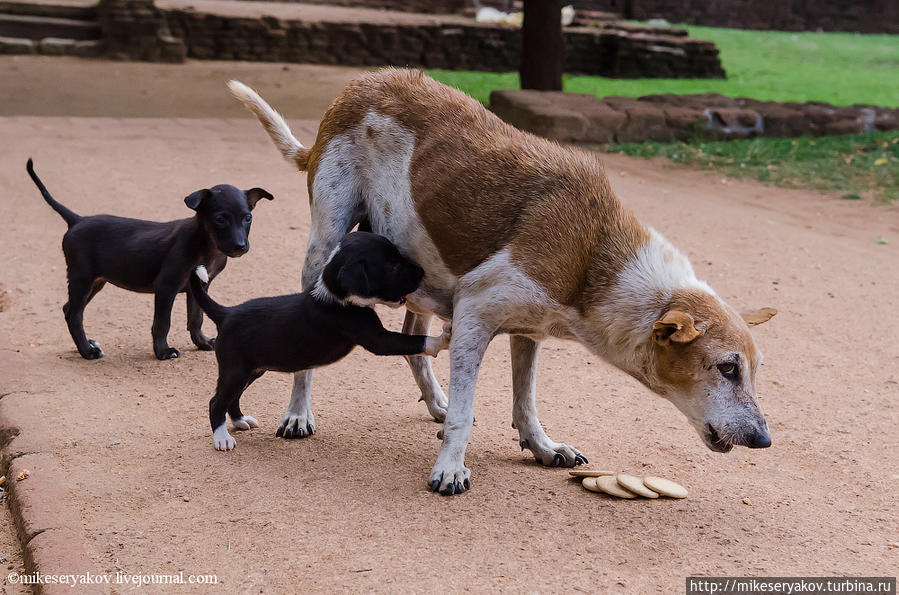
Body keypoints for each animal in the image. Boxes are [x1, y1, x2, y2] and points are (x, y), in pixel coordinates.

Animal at [28, 158, 274, 360]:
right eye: (220, 219)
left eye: (248, 218)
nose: (240, 246)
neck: (206, 246)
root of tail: (77, 220)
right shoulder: (166, 286)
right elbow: (162, 323)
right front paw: (163, 352)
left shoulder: (200, 286)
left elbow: (196, 318)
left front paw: (202, 342)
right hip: (82, 277)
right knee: (74, 314)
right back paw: (87, 352)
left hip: (96, 282)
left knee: (68, 308)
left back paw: (86, 345)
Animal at [192, 230, 454, 450]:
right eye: (392, 264)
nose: (421, 272)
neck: (337, 295)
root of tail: (225, 313)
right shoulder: (376, 339)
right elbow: (417, 341)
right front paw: (444, 336)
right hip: (235, 370)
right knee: (216, 402)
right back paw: (222, 438)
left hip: (252, 370)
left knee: (232, 398)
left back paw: (240, 420)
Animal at [232, 70, 780, 496]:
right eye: (727, 368)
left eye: (754, 370)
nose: (764, 440)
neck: (593, 257)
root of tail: (357, 85)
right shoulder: (476, 314)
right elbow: (469, 406)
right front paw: (450, 468)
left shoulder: (528, 329)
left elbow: (525, 399)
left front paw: (541, 446)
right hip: (325, 245)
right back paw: (299, 413)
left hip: (413, 264)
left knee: (413, 341)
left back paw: (435, 401)